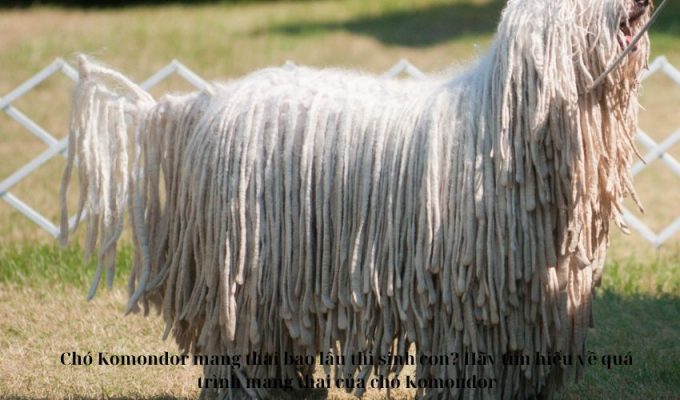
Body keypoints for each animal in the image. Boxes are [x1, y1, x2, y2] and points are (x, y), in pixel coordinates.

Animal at [61, 0, 656, 398]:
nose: (641, 2)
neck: (513, 131)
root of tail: (209, 105)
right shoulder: (471, 301)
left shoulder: (529, 307)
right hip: (250, 274)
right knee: (242, 354)